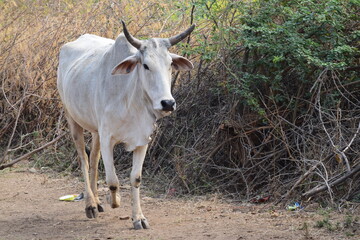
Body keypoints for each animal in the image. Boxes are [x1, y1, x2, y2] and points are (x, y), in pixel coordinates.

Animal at [57, 20, 194, 229]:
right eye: (145, 65)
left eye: (170, 65)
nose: (168, 103)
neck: (131, 99)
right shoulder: (108, 139)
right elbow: (113, 180)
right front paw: (115, 201)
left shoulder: (142, 139)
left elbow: (135, 178)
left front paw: (139, 218)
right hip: (72, 118)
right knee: (84, 160)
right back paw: (90, 205)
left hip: (96, 130)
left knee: (94, 160)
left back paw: (97, 201)